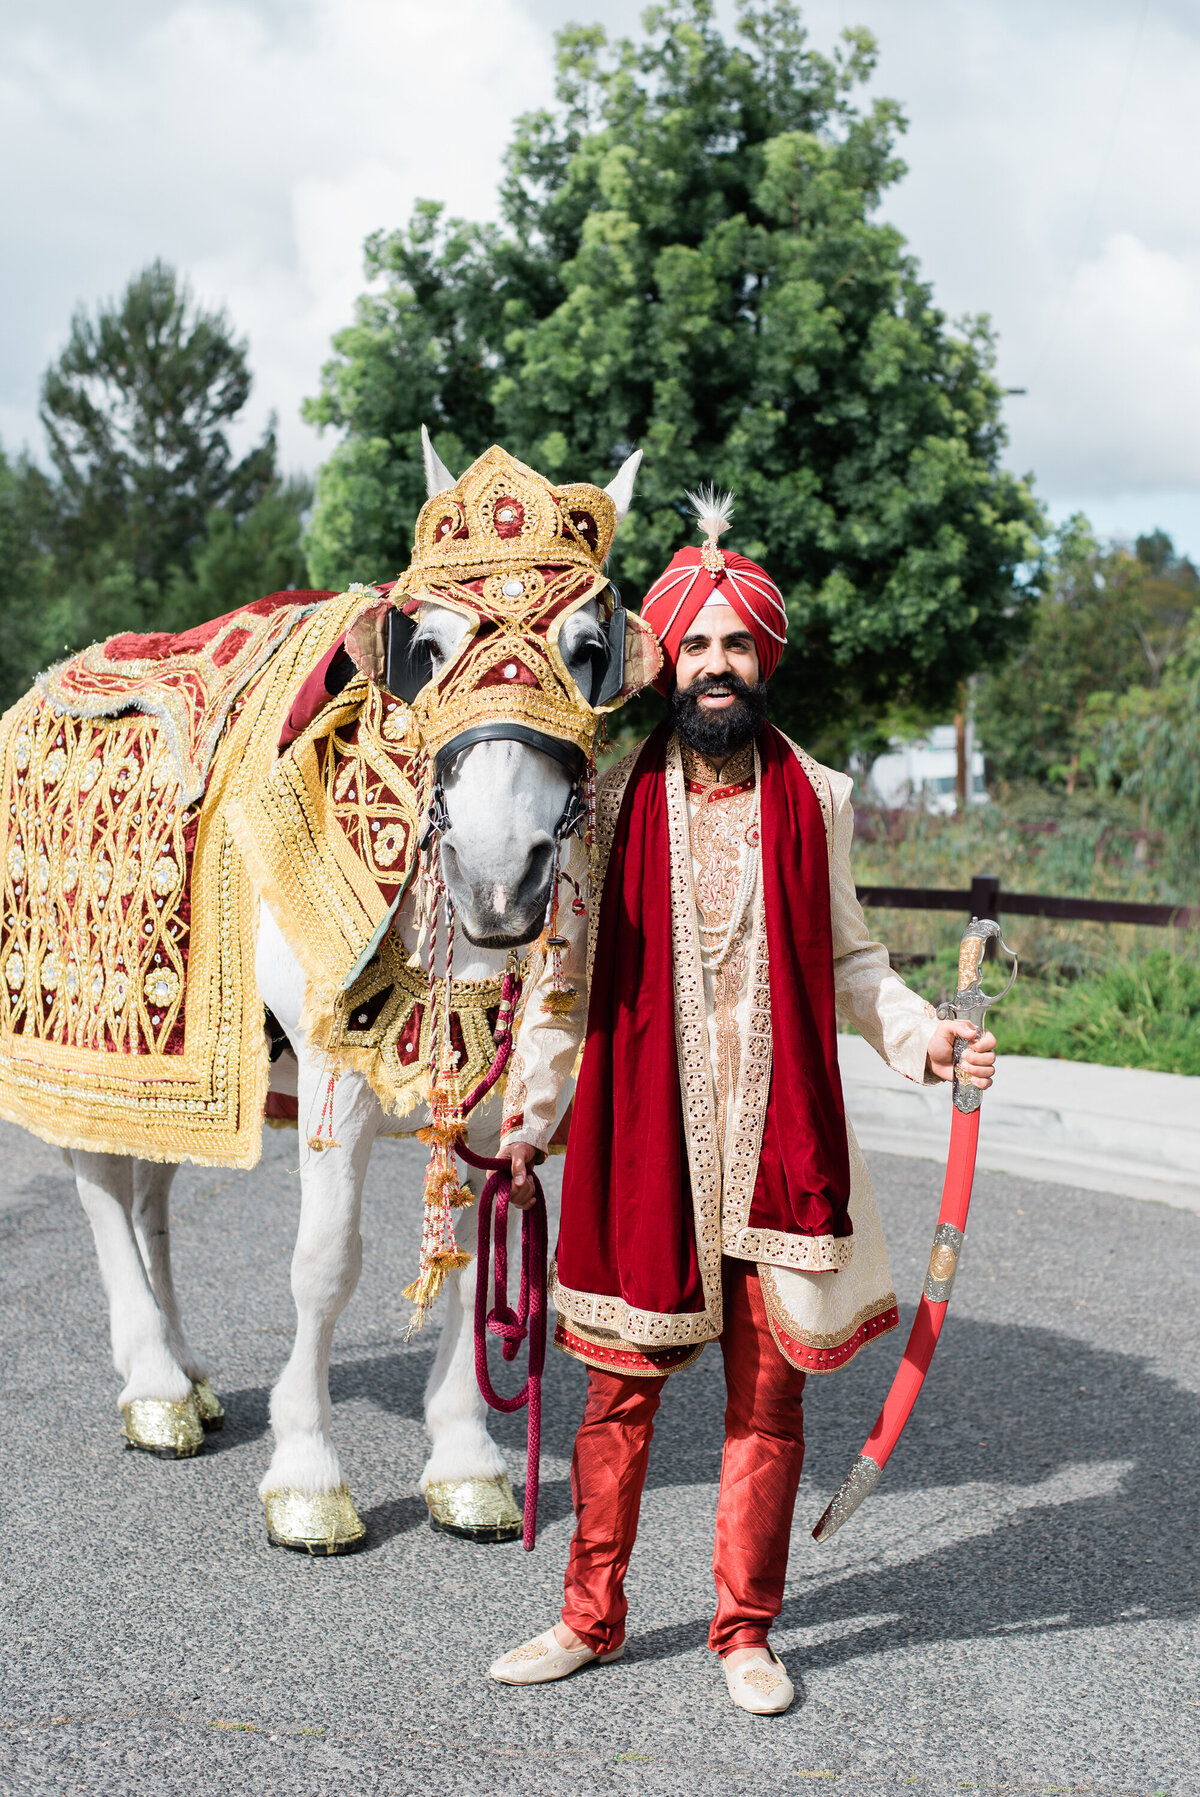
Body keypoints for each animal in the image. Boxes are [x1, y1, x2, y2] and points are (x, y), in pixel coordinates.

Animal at [65, 431, 643, 1545]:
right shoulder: (335, 1071)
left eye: (592, 645)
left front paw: (466, 1465)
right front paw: (306, 1474)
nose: (499, 876)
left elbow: (470, 1252)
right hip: (101, 1029)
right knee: (101, 1180)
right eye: (429, 644)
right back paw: (152, 1385)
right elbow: (325, 1265)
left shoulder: (491, 1082)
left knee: (152, 1186)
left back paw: (187, 1373)